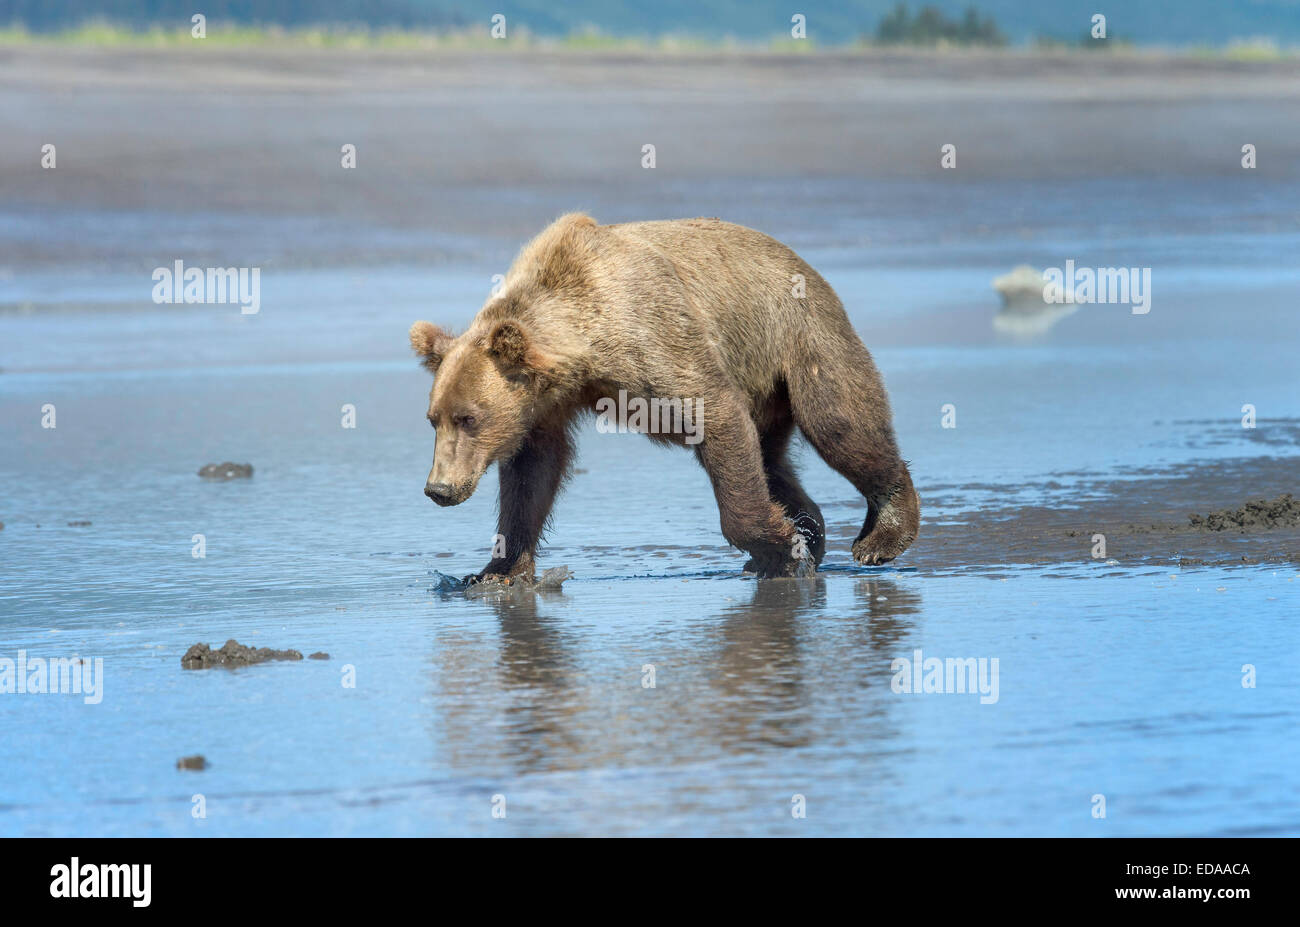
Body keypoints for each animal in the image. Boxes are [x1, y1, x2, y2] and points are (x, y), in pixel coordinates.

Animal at [410, 214, 920, 582]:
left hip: (801, 338)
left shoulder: (652, 337)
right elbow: (531, 476)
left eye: (468, 418)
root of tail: (806, 266)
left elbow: (713, 413)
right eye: (434, 418)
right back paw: (807, 530)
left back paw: (880, 536)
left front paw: (780, 547)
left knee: (839, 423)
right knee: (772, 460)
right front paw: (493, 572)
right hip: (769, 389)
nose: (439, 489)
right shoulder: (545, 405)